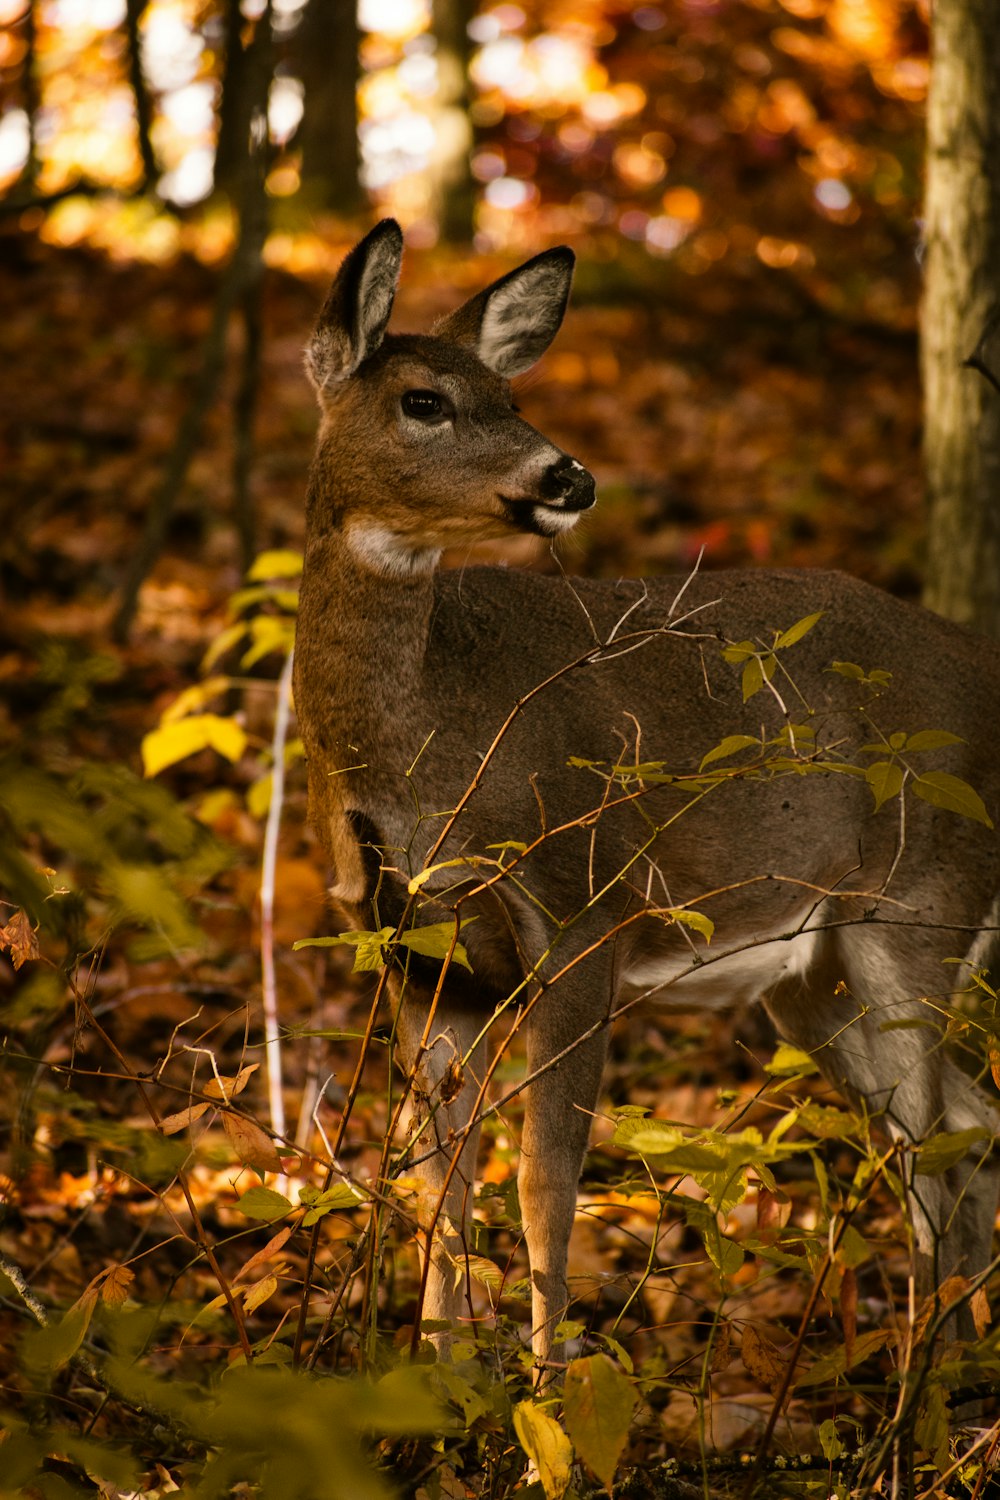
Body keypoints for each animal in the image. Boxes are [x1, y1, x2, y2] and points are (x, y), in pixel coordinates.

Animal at [290, 217, 1000, 1374]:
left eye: (512, 394)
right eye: (425, 401)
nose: (568, 476)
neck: (417, 748)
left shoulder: (584, 909)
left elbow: (544, 1181)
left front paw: (543, 1387)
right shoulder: (418, 954)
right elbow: (439, 1180)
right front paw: (439, 1374)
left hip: (921, 906)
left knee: (939, 1145)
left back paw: (922, 1384)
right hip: (815, 971)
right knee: (966, 1127)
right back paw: (952, 1372)